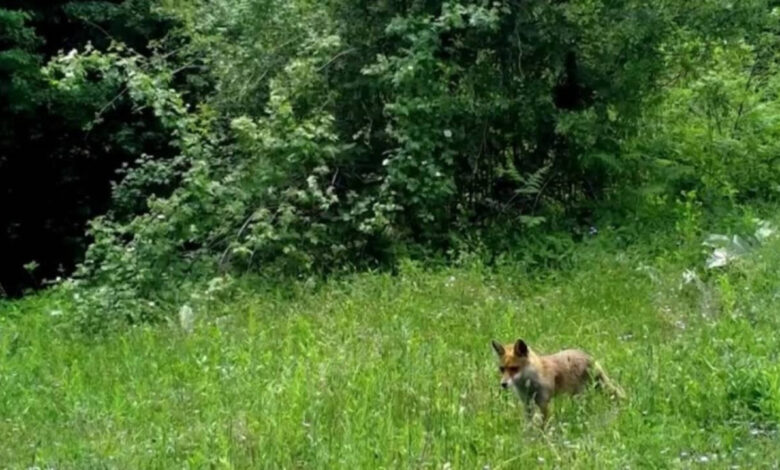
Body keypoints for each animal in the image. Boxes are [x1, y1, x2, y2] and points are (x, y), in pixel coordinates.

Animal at [490, 338, 624, 422]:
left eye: (514, 368)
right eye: (502, 369)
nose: (503, 384)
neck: (529, 385)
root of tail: (588, 356)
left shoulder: (543, 403)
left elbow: (544, 426)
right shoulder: (527, 404)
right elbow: (529, 425)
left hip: (580, 394)